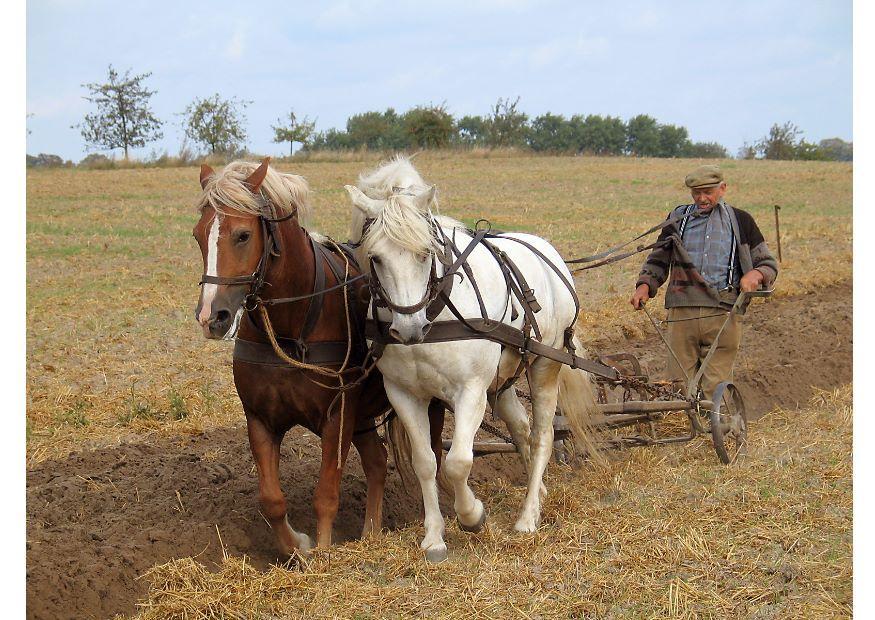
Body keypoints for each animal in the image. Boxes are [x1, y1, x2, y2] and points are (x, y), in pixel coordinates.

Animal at [195, 159, 438, 552]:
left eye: (243, 235)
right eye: (198, 235)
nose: (210, 317)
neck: (291, 327)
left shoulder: (338, 415)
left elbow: (326, 493)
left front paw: (323, 552)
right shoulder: (260, 418)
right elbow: (272, 500)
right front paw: (297, 547)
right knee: (377, 461)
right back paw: (371, 533)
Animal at [346, 156, 600, 560]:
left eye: (425, 253)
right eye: (375, 257)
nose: (409, 328)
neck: (436, 312)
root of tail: (549, 253)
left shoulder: (470, 391)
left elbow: (458, 462)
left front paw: (472, 516)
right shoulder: (403, 394)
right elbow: (425, 462)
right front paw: (434, 537)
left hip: (545, 365)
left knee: (542, 435)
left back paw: (528, 516)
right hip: (504, 380)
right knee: (521, 429)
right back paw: (538, 492)